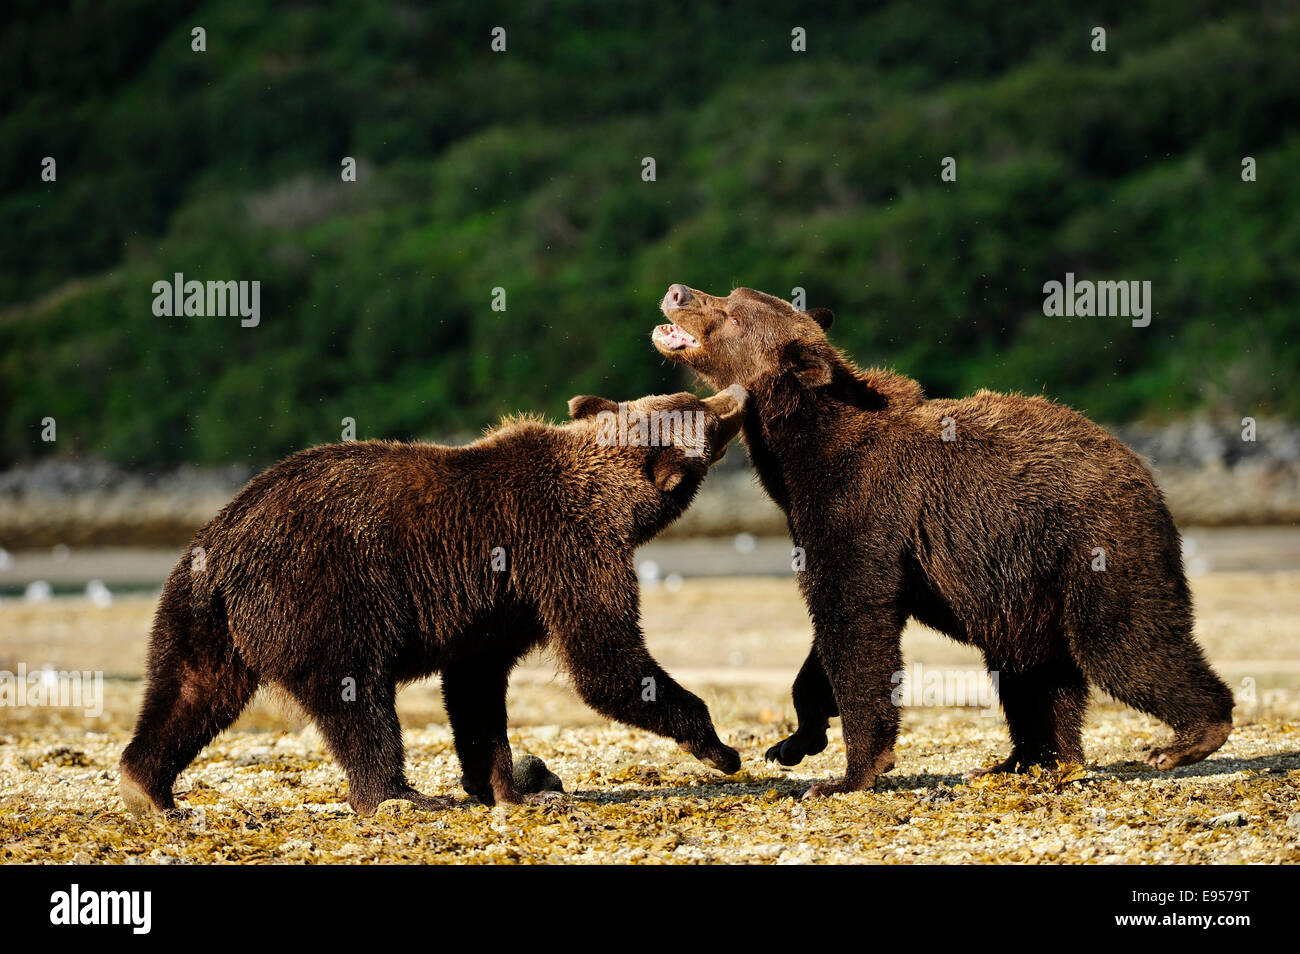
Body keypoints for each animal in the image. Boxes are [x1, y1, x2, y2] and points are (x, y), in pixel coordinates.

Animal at [122, 384, 754, 816]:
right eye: (704, 413)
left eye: (691, 398)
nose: (737, 393)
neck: (609, 499)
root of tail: (223, 542)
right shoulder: (560, 546)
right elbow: (607, 661)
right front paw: (719, 747)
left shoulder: (501, 604)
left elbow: (477, 688)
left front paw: (509, 785)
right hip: (322, 592)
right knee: (357, 697)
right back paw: (399, 794)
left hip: (198, 611)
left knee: (193, 689)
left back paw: (146, 786)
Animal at [655, 283, 1232, 800]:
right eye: (730, 294)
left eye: (731, 312)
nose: (677, 292)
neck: (801, 455)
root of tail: (1144, 469)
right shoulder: (824, 523)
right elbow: (829, 637)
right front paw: (795, 740)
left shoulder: (864, 513)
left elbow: (856, 626)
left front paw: (848, 773)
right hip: (1030, 583)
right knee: (1033, 669)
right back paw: (1029, 761)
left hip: (1096, 545)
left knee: (1122, 644)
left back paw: (1185, 739)